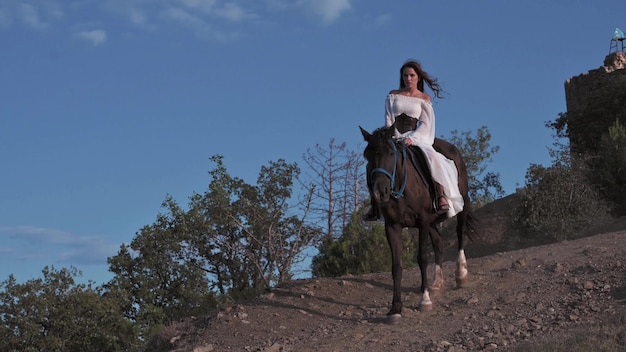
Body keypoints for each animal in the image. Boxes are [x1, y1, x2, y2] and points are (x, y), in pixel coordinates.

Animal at [358, 124, 476, 324]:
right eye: (367, 155)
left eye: (390, 152)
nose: (380, 192)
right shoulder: (393, 227)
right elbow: (396, 266)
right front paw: (395, 309)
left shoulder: (423, 221)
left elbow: (422, 258)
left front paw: (424, 300)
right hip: (434, 222)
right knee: (439, 243)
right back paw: (436, 284)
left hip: (461, 205)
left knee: (460, 234)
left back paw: (461, 274)